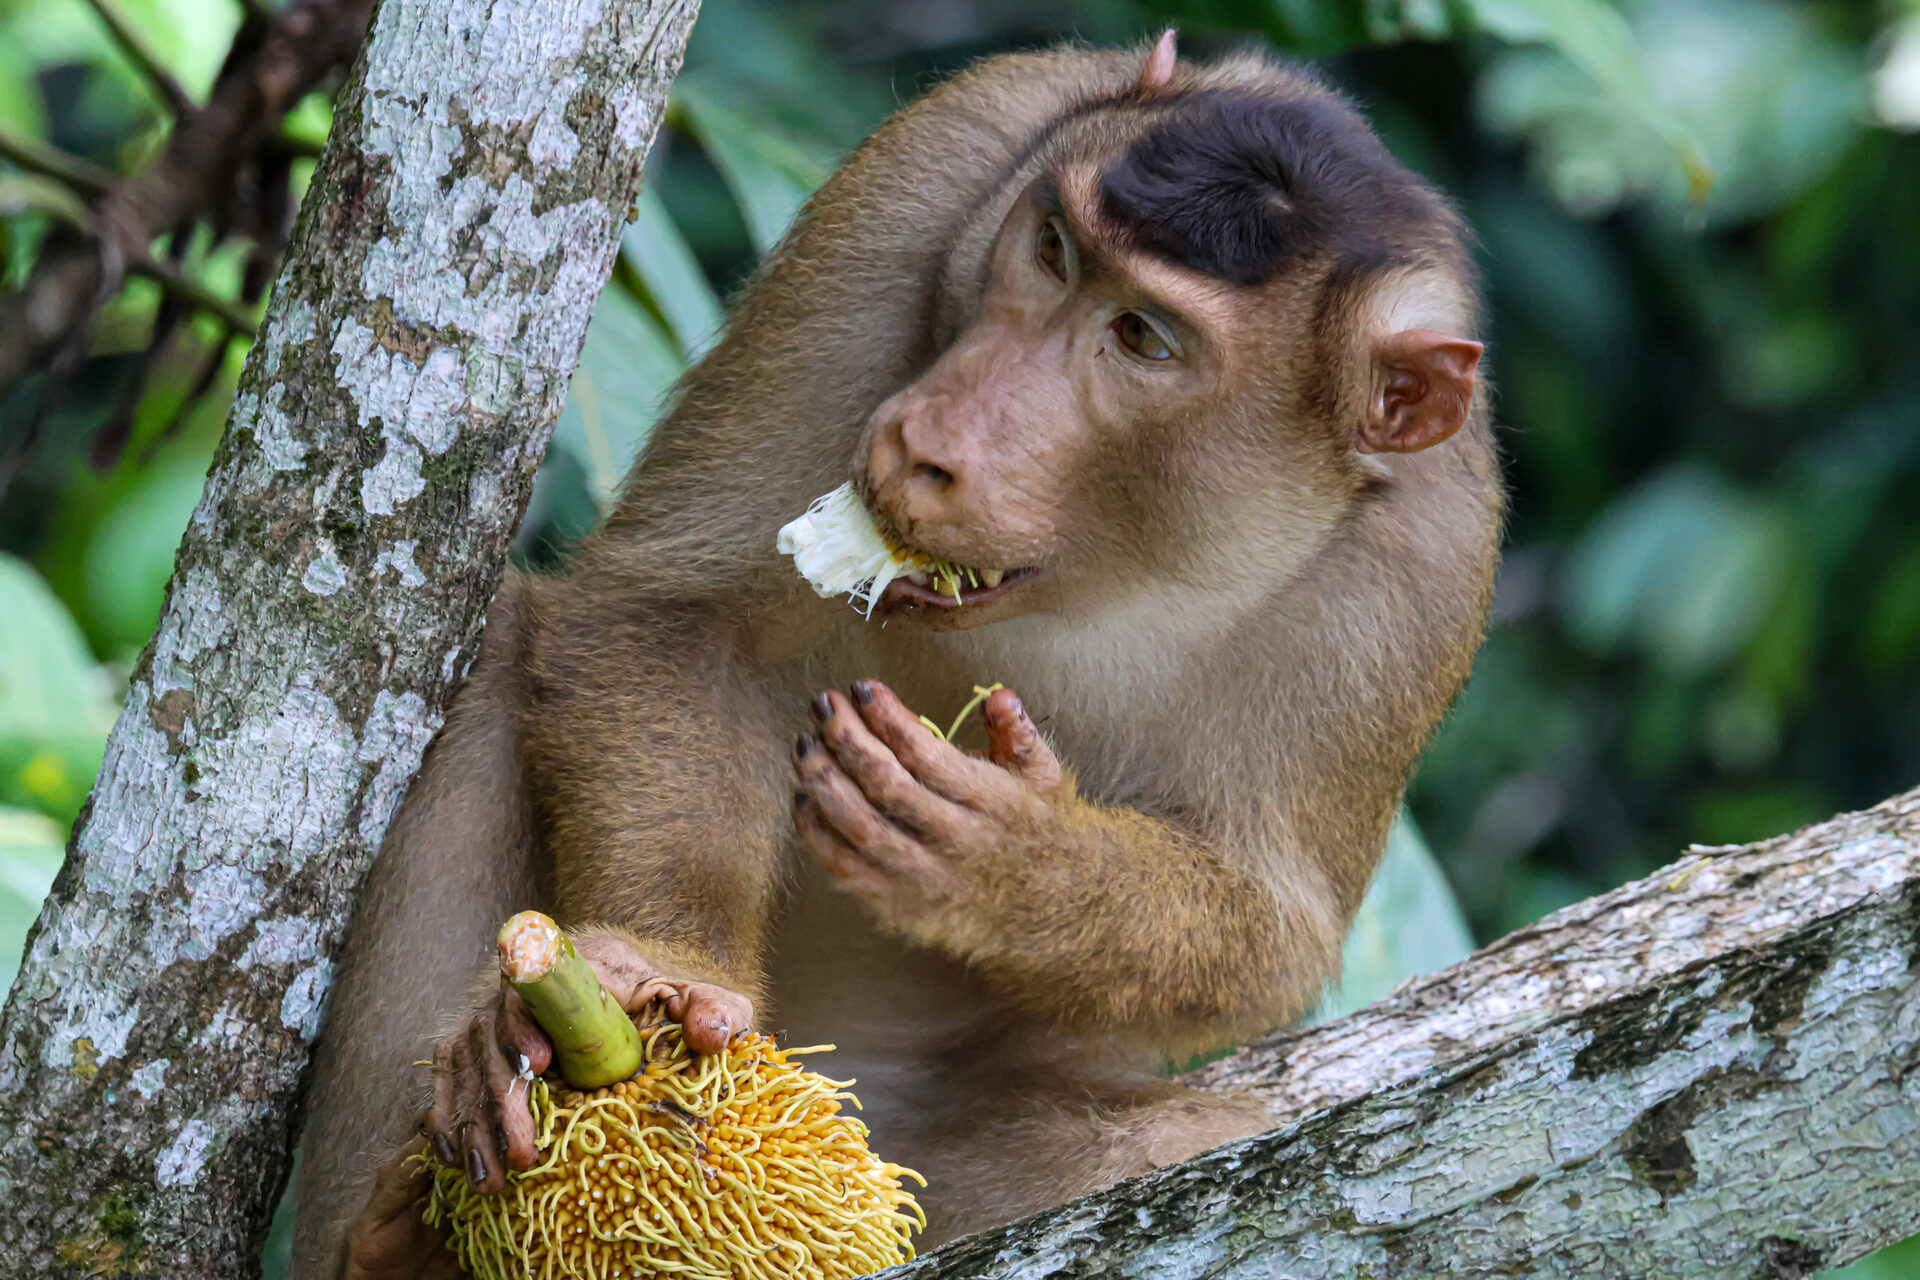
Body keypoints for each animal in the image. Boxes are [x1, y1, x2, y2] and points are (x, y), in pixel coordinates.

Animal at [295, 29, 1502, 1278]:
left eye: (1142, 337)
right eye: (1053, 250)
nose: (928, 443)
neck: (1119, 559)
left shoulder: (1423, 573)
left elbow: (1277, 932)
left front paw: (1020, 864)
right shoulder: (931, 170)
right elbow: (675, 609)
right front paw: (664, 967)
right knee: (496, 665)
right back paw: (398, 1235)